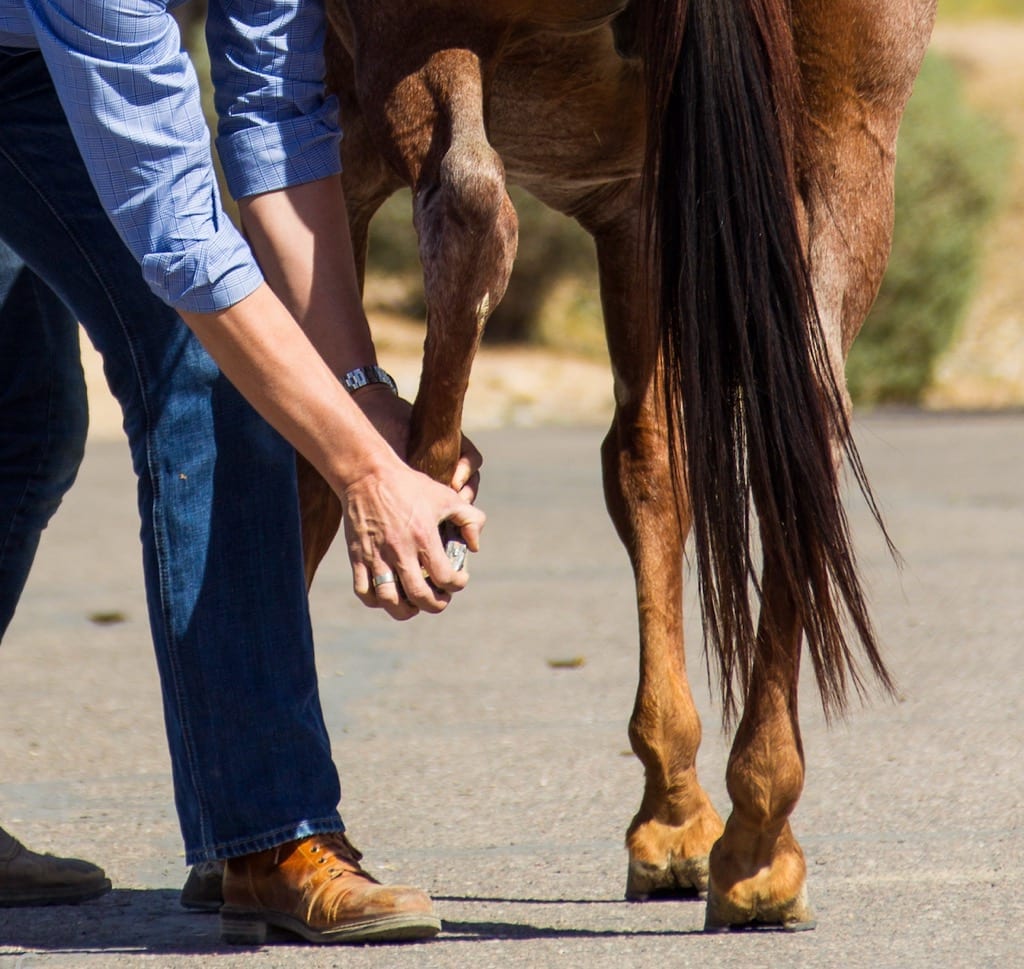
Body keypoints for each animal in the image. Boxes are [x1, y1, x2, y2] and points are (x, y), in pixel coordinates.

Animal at [301, 0, 937, 934]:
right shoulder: (637, 206)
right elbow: (649, 465)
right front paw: (674, 816)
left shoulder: (334, 138)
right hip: (850, 145)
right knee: (806, 426)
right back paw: (759, 842)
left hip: (407, 50)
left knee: (470, 210)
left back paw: (426, 485)